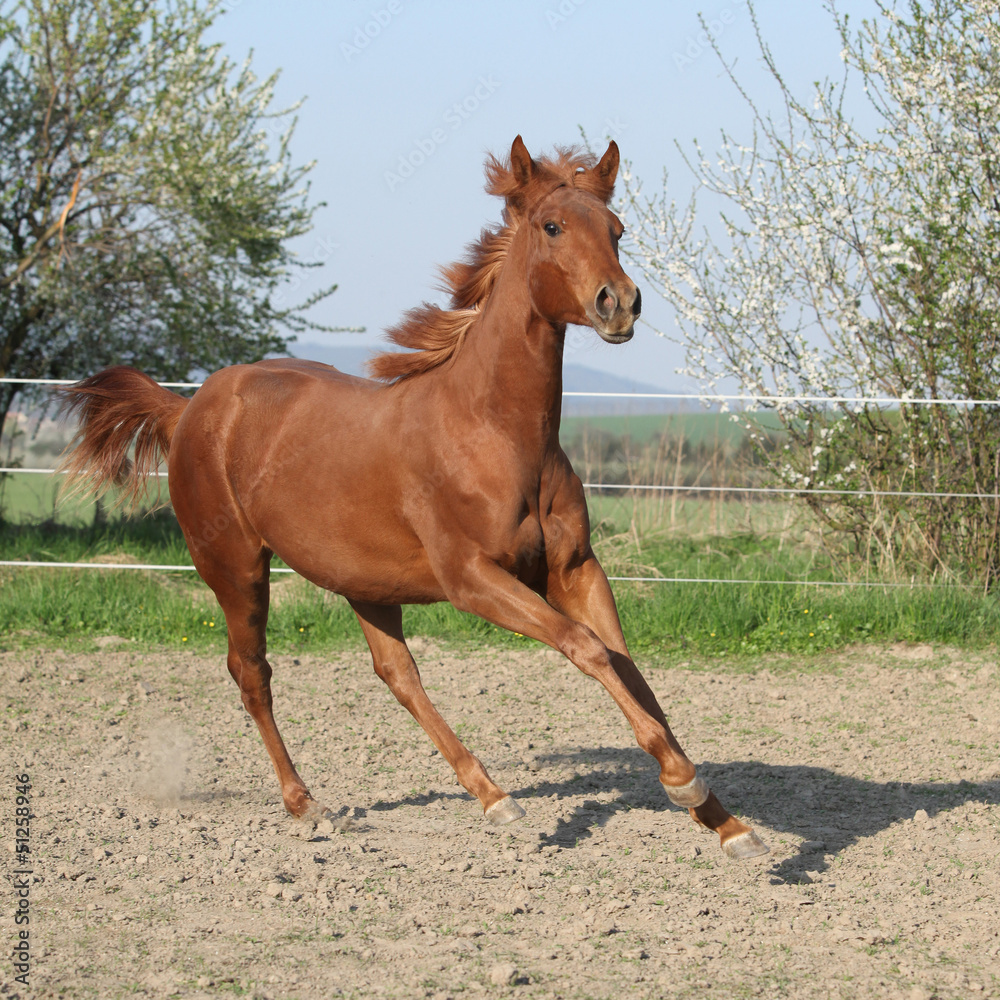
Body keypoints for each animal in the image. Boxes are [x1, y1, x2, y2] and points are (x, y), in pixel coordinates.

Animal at [59, 136, 768, 860]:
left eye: (618, 230)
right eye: (552, 226)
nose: (618, 303)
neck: (493, 432)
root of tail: (191, 406)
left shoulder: (574, 569)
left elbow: (630, 669)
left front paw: (722, 818)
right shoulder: (474, 579)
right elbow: (588, 649)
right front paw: (685, 785)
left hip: (363, 581)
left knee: (395, 673)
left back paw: (492, 796)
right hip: (235, 567)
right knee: (251, 672)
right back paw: (307, 805)